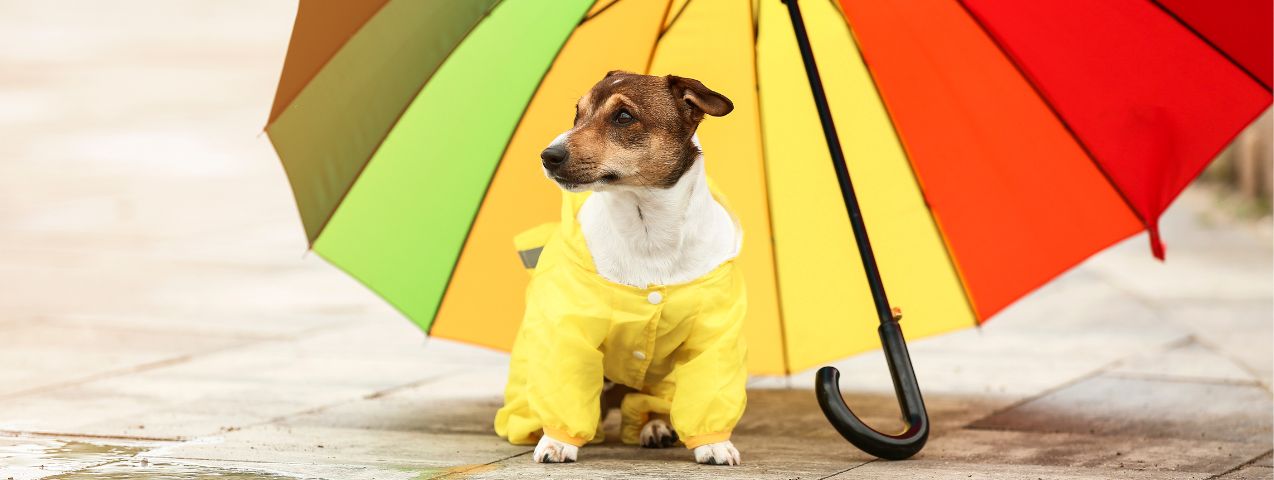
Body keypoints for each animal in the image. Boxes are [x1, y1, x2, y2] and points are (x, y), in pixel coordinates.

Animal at [489, 70, 744, 463]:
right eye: (577, 113)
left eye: (623, 116)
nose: (548, 155)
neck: (647, 232)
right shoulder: (570, 330)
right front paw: (557, 441)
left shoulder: (713, 336)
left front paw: (714, 443)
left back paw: (655, 426)